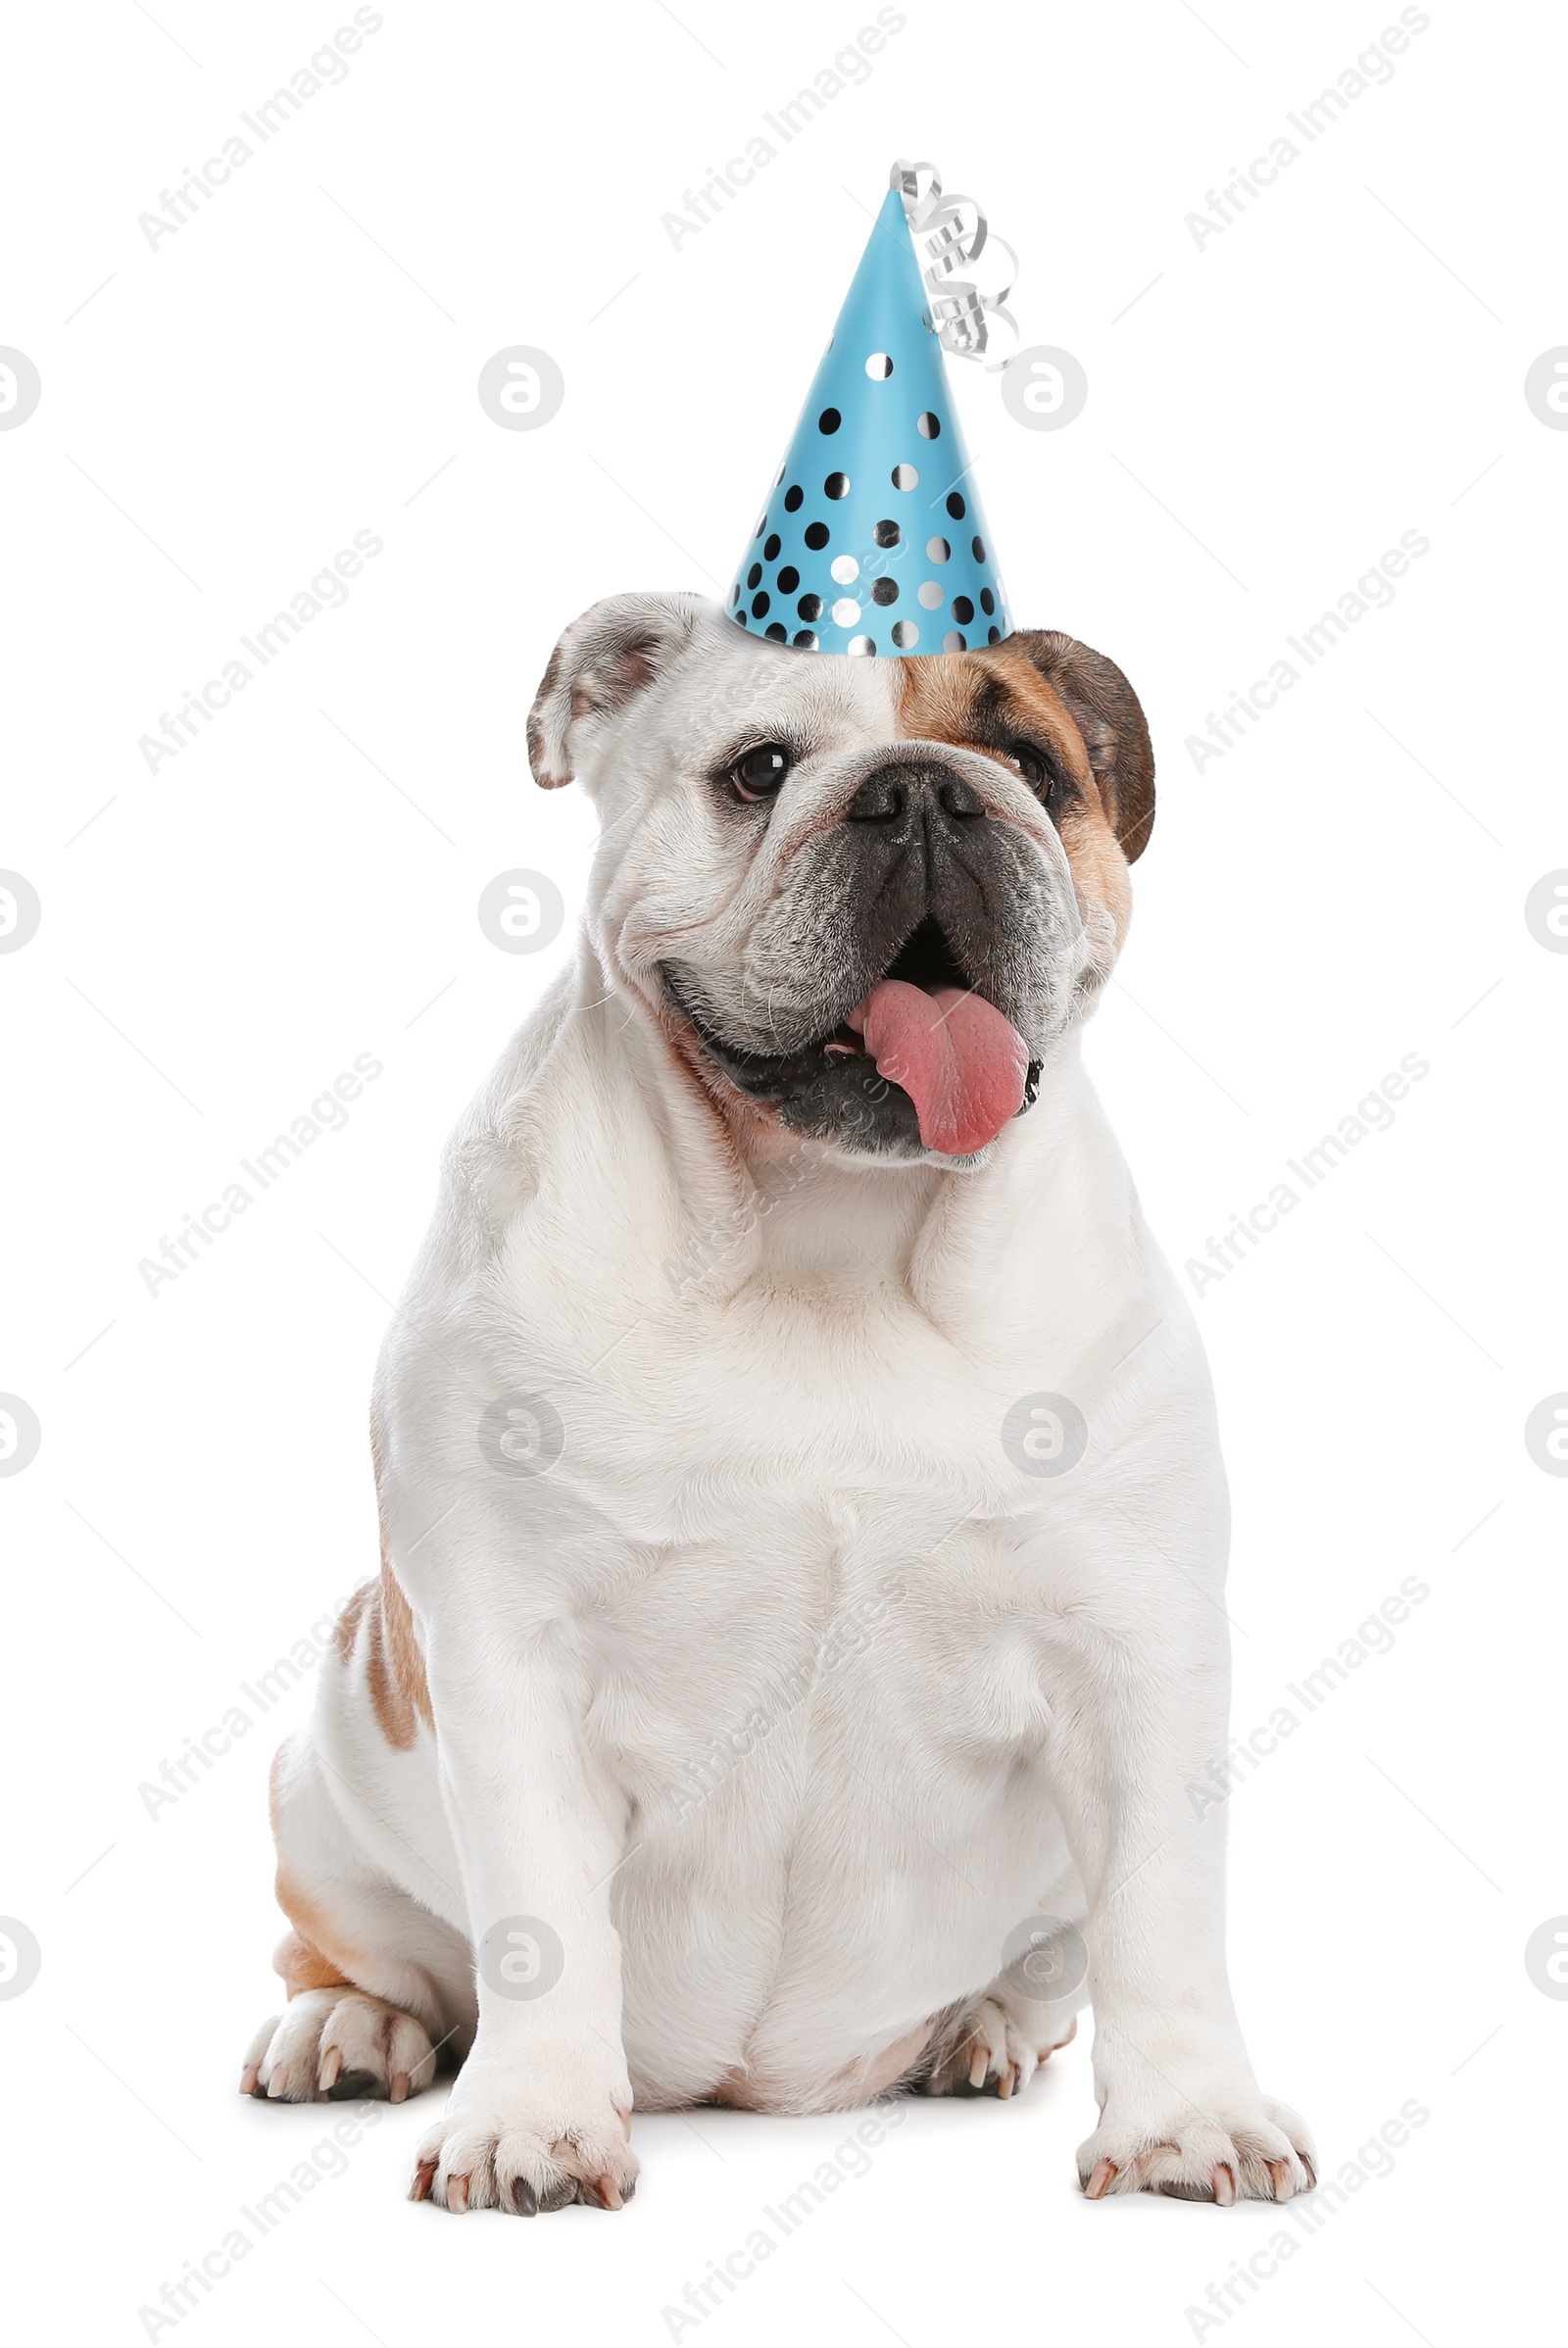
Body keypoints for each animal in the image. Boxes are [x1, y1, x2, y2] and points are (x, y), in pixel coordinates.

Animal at [241, 601, 1314, 2216]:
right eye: (758, 771)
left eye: (1029, 765)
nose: (926, 793)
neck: (829, 1240)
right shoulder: (506, 1649)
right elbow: (540, 1924)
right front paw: (534, 2122)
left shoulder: (1138, 1649)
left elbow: (1165, 1916)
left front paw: (1192, 2117)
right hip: (326, 1759)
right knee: (371, 1948)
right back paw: (350, 2027)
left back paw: (981, 2029)